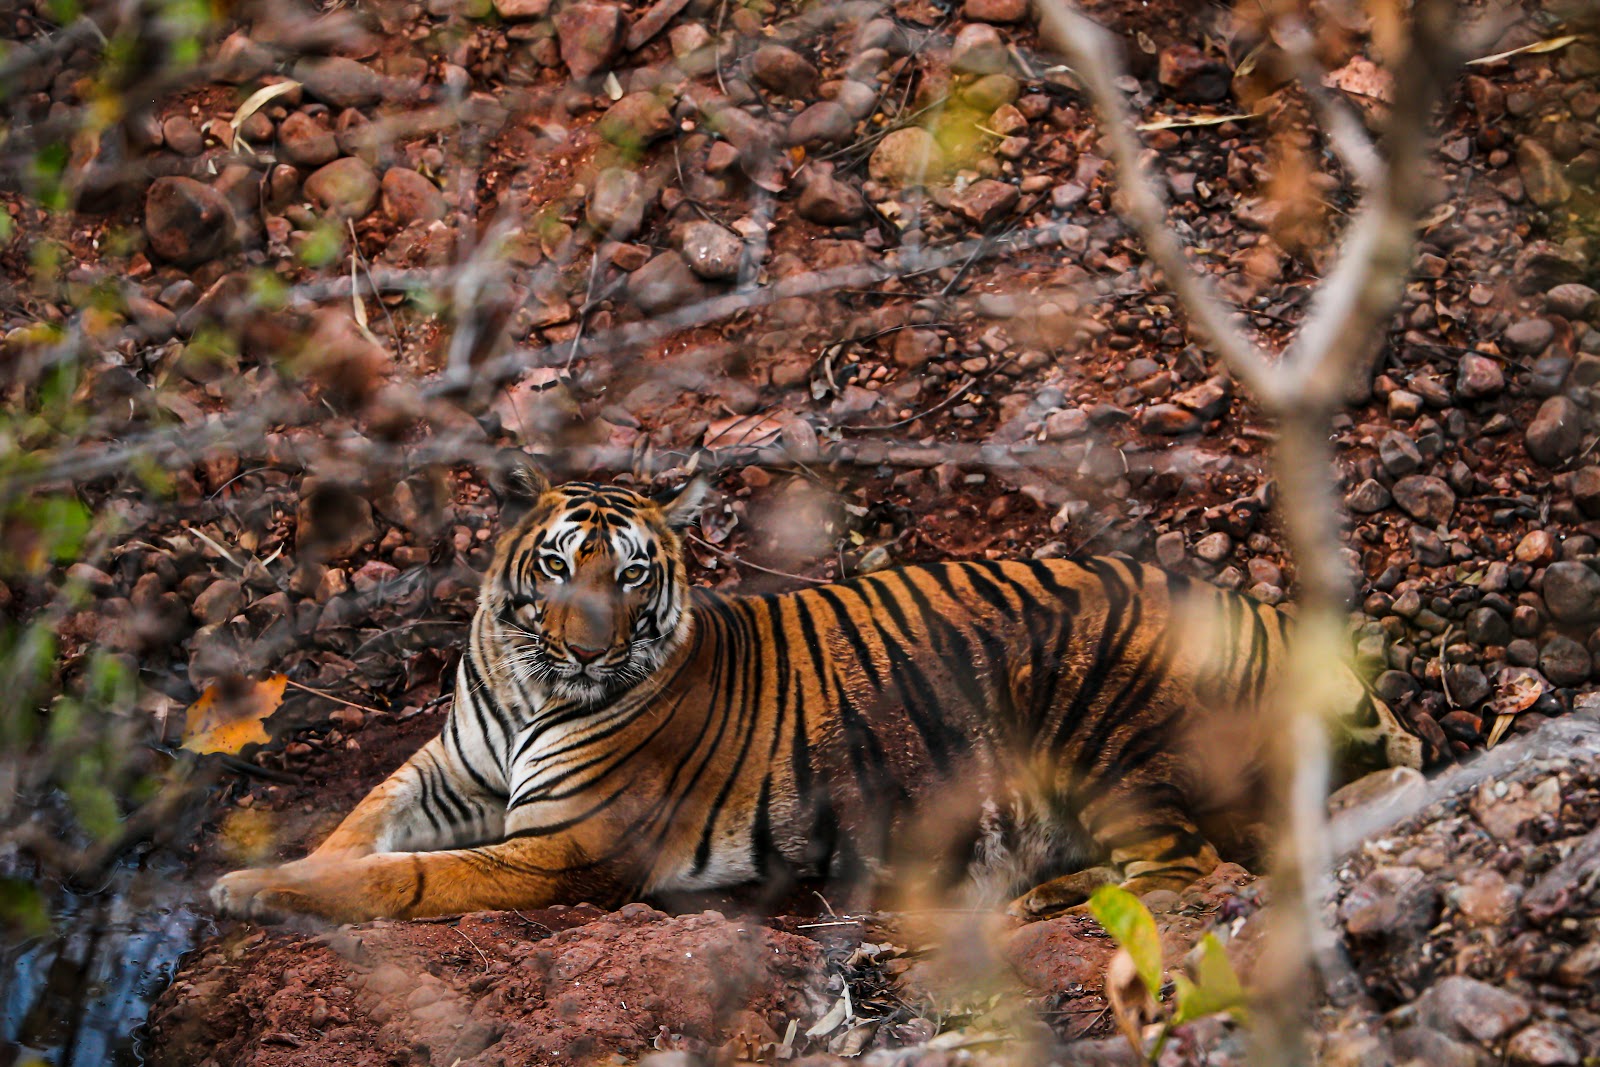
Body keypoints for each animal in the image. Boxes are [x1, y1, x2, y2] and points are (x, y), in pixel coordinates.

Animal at [209, 460, 1414, 927]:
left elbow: (404, 879)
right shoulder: (445, 770)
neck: (523, 685)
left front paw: (257, 890)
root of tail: (1273, 617)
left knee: (1183, 871)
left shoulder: (562, 844)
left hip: (1106, 726)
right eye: (553, 566)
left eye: (631, 574)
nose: (589, 651)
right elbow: (361, 824)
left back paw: (1034, 902)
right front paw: (267, 872)